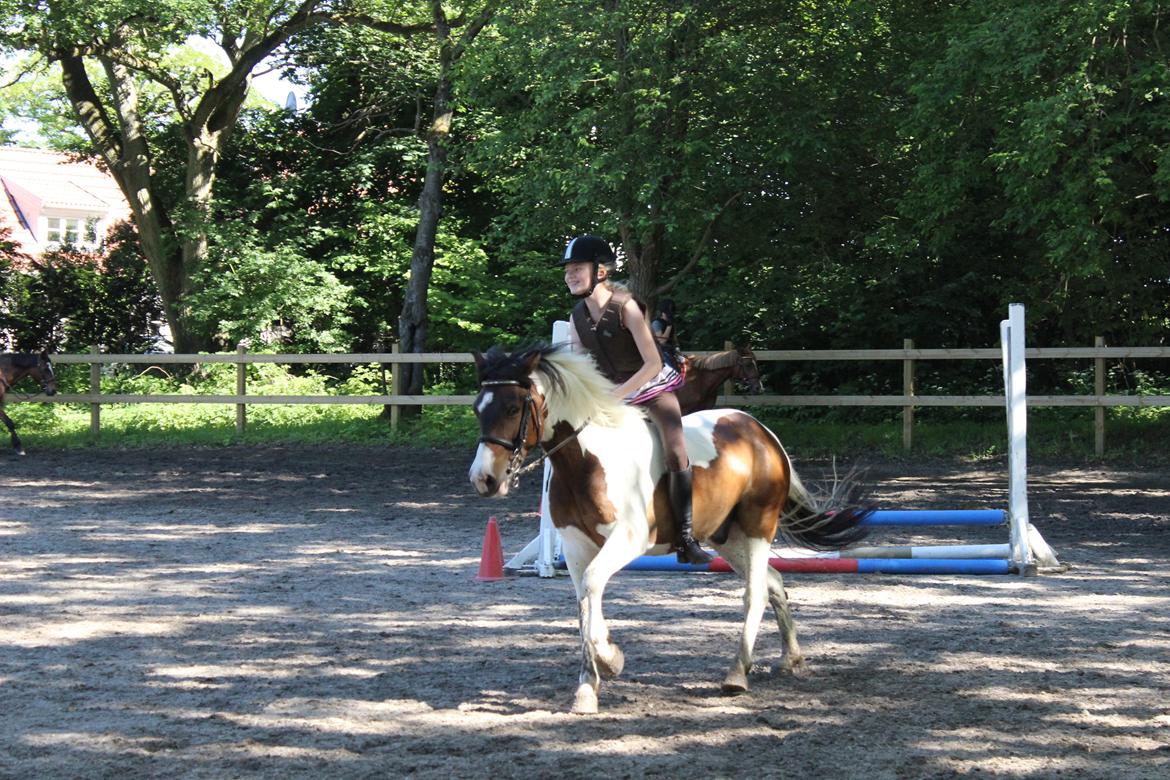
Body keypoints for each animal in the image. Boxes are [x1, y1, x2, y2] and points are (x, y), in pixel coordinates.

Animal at [468, 343, 870, 714]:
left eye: (512, 408)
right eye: (477, 408)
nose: (483, 480)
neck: (586, 461)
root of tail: (762, 433)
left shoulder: (628, 540)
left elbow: (593, 586)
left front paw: (607, 663)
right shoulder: (575, 547)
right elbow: (584, 602)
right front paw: (592, 682)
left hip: (759, 525)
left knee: (755, 592)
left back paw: (737, 673)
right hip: (726, 538)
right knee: (773, 581)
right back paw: (791, 657)